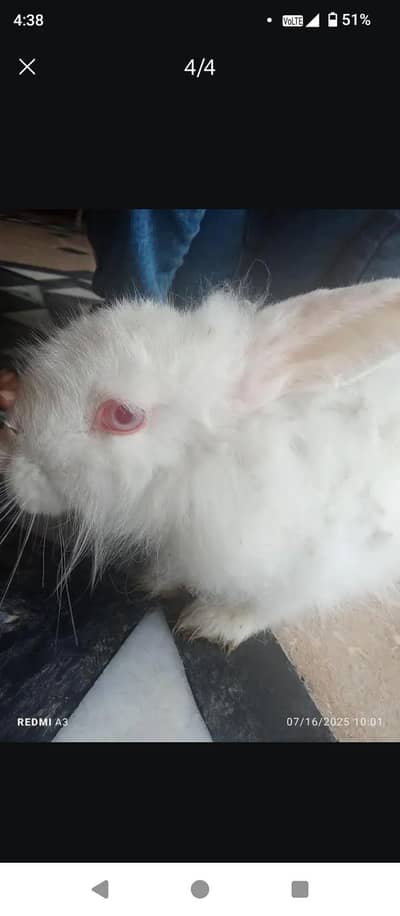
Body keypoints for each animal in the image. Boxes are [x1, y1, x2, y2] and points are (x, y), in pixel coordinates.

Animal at [3, 277, 400, 650]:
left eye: (122, 416)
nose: (10, 463)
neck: (220, 458)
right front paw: (154, 579)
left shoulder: (314, 564)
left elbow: (269, 605)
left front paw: (213, 623)